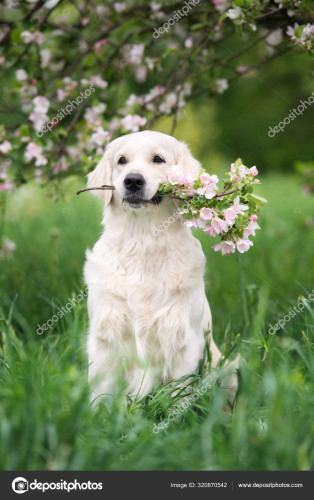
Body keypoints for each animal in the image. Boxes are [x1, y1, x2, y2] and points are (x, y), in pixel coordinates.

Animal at [83, 130, 238, 402]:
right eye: (122, 160)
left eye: (158, 159)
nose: (133, 181)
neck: (143, 240)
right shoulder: (104, 339)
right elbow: (99, 393)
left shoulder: (183, 341)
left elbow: (179, 395)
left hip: (228, 370)